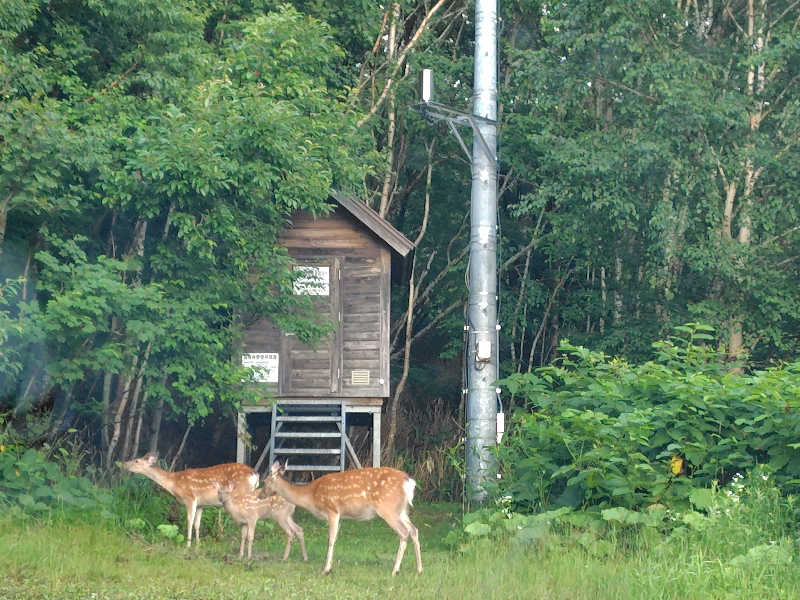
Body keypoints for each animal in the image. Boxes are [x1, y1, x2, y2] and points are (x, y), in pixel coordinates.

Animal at [122, 454, 256, 548]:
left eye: (137, 460)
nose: (124, 464)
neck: (174, 483)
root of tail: (254, 475)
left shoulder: (190, 498)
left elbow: (189, 521)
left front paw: (188, 544)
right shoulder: (201, 504)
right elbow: (197, 524)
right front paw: (198, 544)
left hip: (241, 496)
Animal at [262, 462, 424, 576]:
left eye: (264, 481)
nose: (261, 494)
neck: (311, 496)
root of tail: (409, 482)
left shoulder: (332, 509)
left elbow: (330, 539)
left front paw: (326, 569)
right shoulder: (341, 517)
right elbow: (335, 539)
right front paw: (331, 567)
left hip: (388, 508)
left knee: (404, 532)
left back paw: (395, 570)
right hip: (401, 510)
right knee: (414, 530)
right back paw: (419, 569)